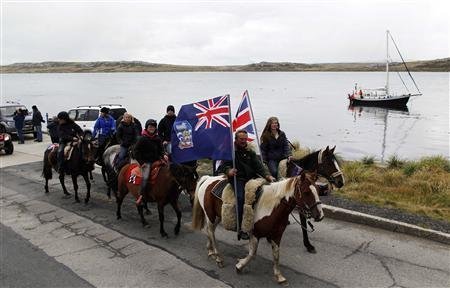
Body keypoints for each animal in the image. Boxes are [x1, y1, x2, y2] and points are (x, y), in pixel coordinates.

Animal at [192, 172, 324, 284]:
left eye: (318, 190)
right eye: (306, 192)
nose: (320, 215)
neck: (272, 207)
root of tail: (208, 179)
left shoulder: (277, 235)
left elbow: (276, 254)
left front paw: (278, 275)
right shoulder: (255, 234)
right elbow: (252, 254)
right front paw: (240, 265)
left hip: (219, 216)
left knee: (210, 231)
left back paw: (211, 251)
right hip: (210, 215)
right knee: (210, 231)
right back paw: (218, 257)